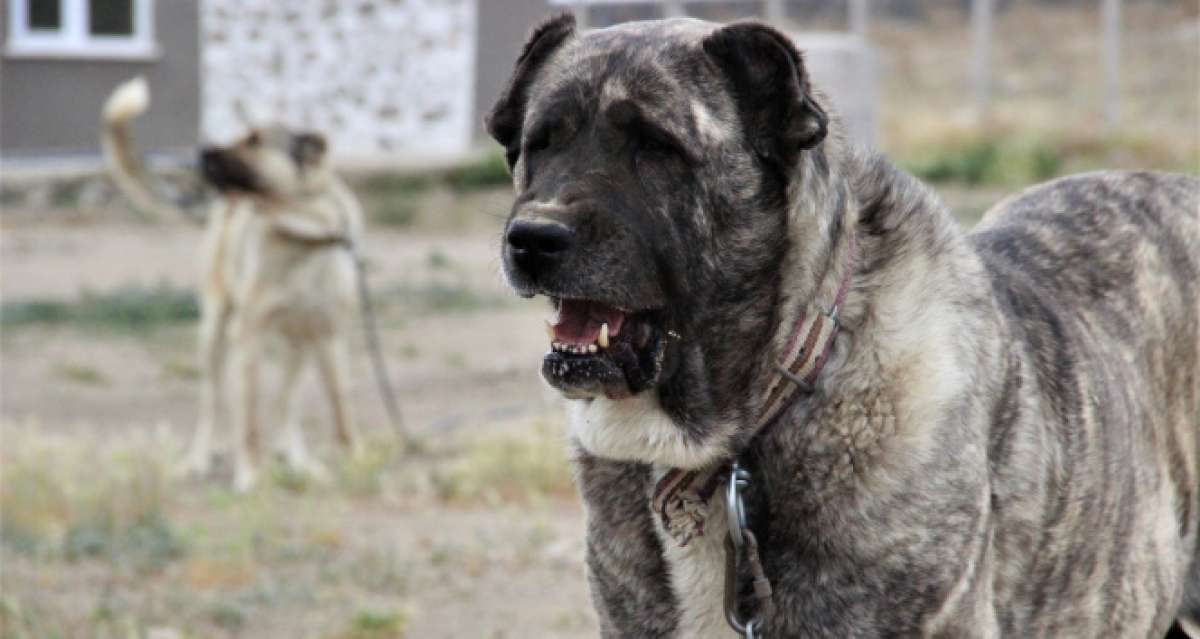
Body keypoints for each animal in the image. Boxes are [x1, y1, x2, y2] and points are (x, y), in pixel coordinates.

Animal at [102, 77, 364, 492]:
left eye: (255, 141)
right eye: (240, 135)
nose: (202, 151)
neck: (302, 232)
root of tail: (220, 205)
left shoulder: (331, 336)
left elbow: (342, 410)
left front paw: (356, 463)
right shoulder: (249, 336)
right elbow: (249, 421)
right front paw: (251, 476)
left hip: (299, 346)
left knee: (285, 404)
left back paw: (299, 462)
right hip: (214, 332)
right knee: (212, 403)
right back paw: (197, 460)